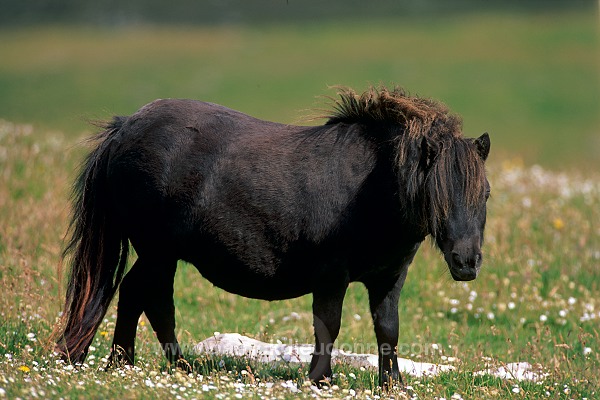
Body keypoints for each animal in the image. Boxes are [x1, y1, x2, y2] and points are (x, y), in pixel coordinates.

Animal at [54, 85, 490, 388]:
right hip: (158, 252)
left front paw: (392, 385)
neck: (370, 187)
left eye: (484, 193)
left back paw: (142, 366)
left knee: (139, 296)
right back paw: (154, 366)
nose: (466, 262)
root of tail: (125, 128)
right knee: (147, 298)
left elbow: (387, 330)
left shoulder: (389, 278)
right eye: (437, 195)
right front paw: (319, 380)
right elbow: (328, 326)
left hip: (160, 254)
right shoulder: (331, 276)